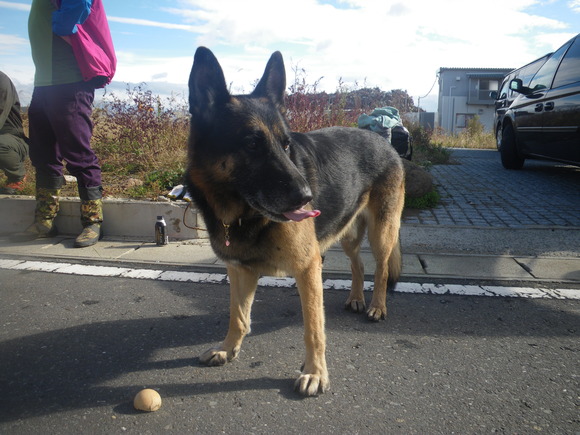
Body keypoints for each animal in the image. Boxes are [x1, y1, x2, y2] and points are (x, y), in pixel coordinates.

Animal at [186, 48, 404, 398]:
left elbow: (313, 329)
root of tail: (385, 141)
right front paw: (228, 348)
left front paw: (315, 373)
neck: (242, 214)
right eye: (251, 144)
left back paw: (377, 306)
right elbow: (238, 317)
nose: (307, 197)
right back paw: (357, 298)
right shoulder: (240, 271)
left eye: (286, 144)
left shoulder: (308, 267)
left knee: (381, 269)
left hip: (381, 232)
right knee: (357, 264)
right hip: (346, 234)